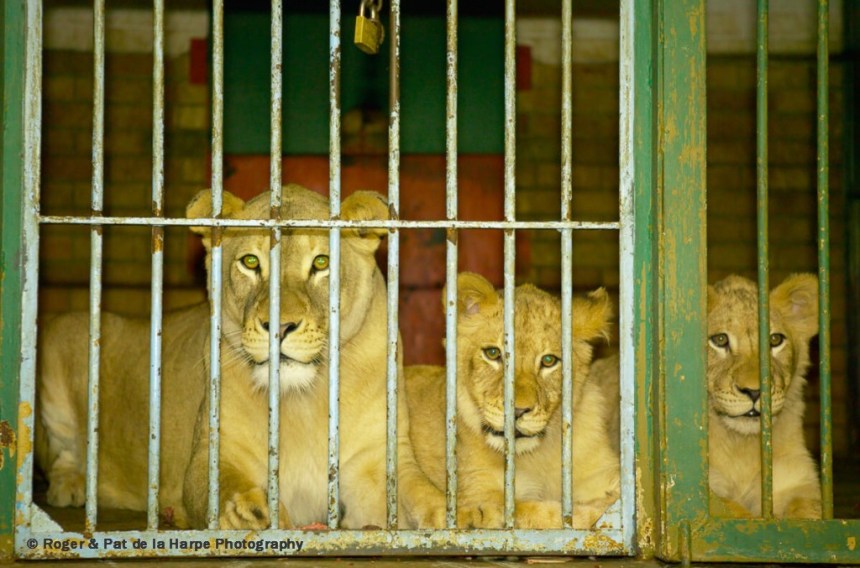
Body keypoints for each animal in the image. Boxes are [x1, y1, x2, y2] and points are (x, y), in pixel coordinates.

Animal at [35, 184, 441, 530]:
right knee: (61, 450)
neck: (303, 402)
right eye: (250, 262)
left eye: (321, 263)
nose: (279, 326)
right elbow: (222, 488)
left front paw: (450, 519)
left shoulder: (377, 460)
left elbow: (422, 495)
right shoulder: (214, 451)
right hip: (66, 331)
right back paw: (72, 486)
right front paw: (251, 512)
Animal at [405, 272, 620, 529]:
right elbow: (546, 514)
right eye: (493, 353)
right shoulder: (482, 494)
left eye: (549, 360)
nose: (517, 411)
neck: (536, 457)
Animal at [589, 273, 821, 518]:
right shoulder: (690, 491)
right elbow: (736, 512)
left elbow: (808, 515)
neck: (741, 445)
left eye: (775, 340)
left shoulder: (797, 483)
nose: (754, 391)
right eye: (720, 340)